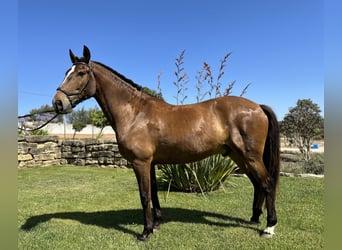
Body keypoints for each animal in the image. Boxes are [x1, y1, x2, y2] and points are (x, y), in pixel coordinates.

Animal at [52, 46, 280, 241]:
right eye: (66, 72)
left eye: (81, 73)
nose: (58, 103)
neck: (135, 113)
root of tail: (257, 107)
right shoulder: (151, 163)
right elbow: (153, 193)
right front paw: (156, 225)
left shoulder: (140, 162)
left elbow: (145, 196)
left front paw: (145, 232)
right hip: (238, 156)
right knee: (258, 184)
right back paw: (255, 218)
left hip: (250, 156)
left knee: (267, 183)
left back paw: (269, 227)